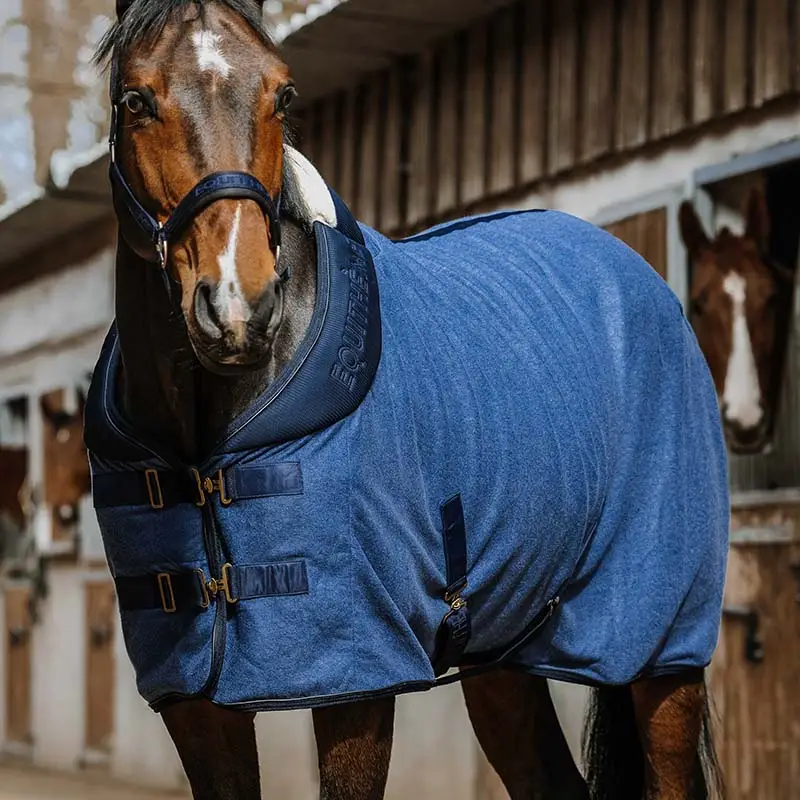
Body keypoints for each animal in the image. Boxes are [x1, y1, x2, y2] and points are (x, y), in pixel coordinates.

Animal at [87, 2, 727, 798]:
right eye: (134, 102)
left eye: (283, 96)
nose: (239, 308)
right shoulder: (194, 701)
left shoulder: (357, 677)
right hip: (503, 651)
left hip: (659, 645)